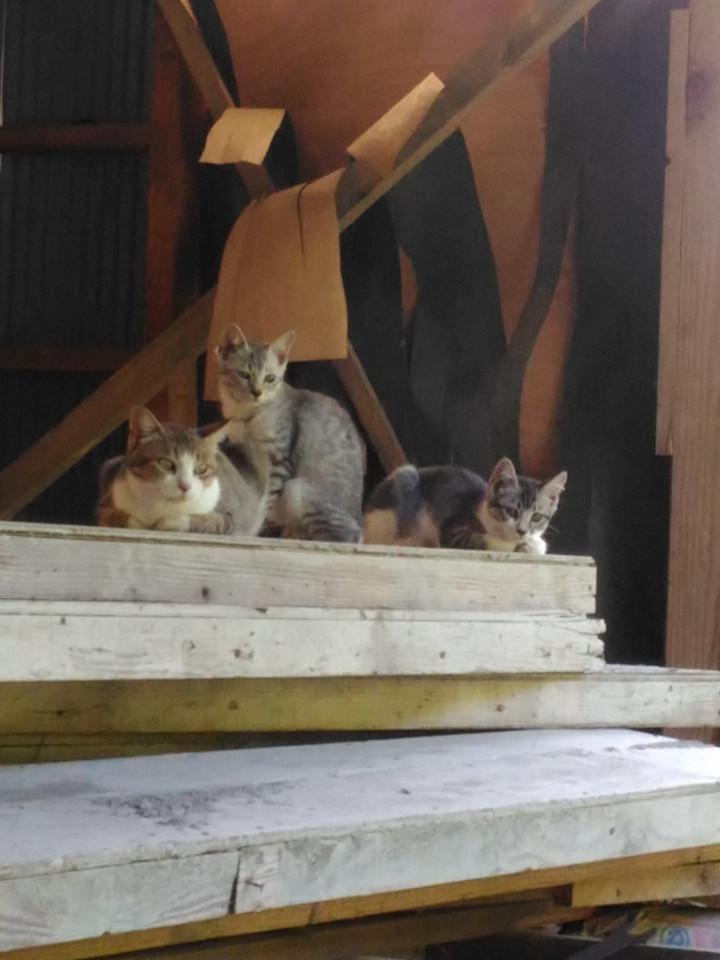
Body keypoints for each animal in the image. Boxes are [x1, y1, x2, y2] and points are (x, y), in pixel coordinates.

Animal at [97, 406, 270, 535]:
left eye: (201, 469)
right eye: (166, 463)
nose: (185, 486)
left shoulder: (232, 518)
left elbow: (207, 521)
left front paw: (167, 522)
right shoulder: (107, 502)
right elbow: (118, 517)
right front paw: (137, 522)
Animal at [214, 324, 365, 543]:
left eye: (269, 378)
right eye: (244, 375)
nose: (257, 392)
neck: (245, 415)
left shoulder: (279, 460)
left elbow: (266, 501)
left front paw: (254, 528)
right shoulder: (248, 456)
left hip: (298, 489)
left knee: (345, 537)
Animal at [364, 457, 566, 555]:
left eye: (537, 517)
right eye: (511, 511)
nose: (522, 531)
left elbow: (540, 545)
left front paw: (532, 544)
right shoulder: (454, 530)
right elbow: (482, 540)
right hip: (403, 482)